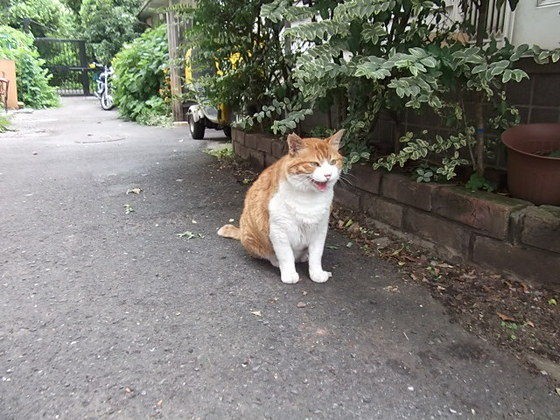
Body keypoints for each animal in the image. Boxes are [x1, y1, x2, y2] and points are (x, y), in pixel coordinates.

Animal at [220, 130, 346, 284]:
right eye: (314, 164)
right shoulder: (279, 230)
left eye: (333, 162)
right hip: (251, 232)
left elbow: (316, 255)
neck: (308, 199)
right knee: (269, 254)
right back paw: (276, 261)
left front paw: (316, 273)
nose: (328, 175)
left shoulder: (320, 229)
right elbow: (286, 255)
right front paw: (289, 274)